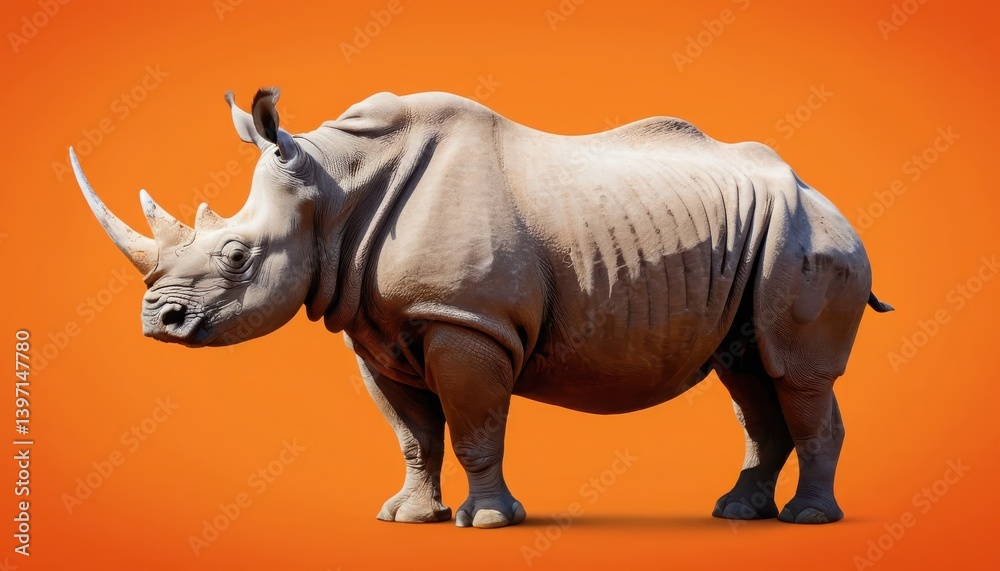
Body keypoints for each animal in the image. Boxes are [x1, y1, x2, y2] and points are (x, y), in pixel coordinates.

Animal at [71, 88, 893, 528]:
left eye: (238, 256)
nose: (158, 322)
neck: (334, 188)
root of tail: (825, 195)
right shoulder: (376, 328)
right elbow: (414, 434)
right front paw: (409, 517)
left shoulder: (466, 320)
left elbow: (472, 428)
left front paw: (491, 521)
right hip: (764, 244)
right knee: (751, 375)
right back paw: (736, 512)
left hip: (809, 238)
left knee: (797, 376)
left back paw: (807, 519)